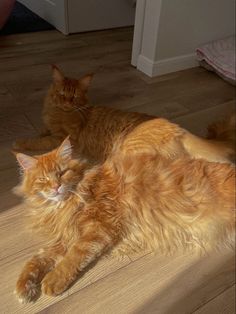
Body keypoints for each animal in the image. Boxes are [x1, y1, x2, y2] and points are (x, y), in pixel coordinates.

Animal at [14, 65, 234, 163]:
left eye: (74, 97)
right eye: (62, 94)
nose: (67, 102)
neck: (58, 112)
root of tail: (176, 128)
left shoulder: (61, 137)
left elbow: (38, 142)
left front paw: (20, 143)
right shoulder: (50, 127)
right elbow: (42, 132)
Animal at [14, 123, 234, 304]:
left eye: (62, 172)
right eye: (43, 179)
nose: (56, 187)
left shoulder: (99, 227)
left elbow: (73, 256)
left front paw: (53, 280)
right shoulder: (68, 234)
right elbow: (39, 257)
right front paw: (25, 286)